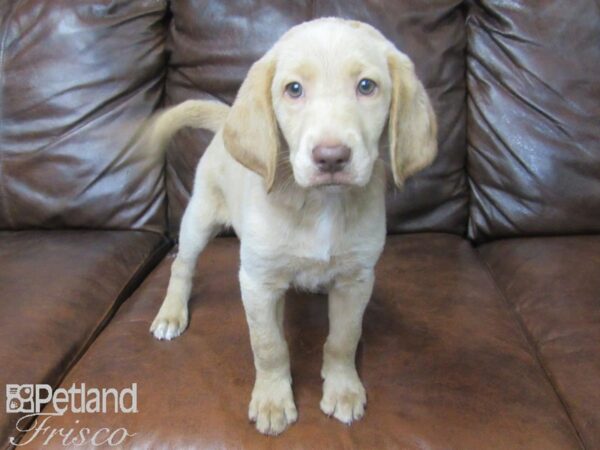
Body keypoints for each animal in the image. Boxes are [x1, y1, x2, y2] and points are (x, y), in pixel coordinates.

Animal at [148, 17, 434, 436]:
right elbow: (269, 345)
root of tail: (225, 119)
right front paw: (272, 399)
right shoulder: (258, 282)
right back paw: (171, 312)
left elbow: (343, 339)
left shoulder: (356, 280)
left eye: (367, 86)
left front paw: (343, 388)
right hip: (199, 217)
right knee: (181, 265)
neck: (320, 204)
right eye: (293, 89)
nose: (331, 157)